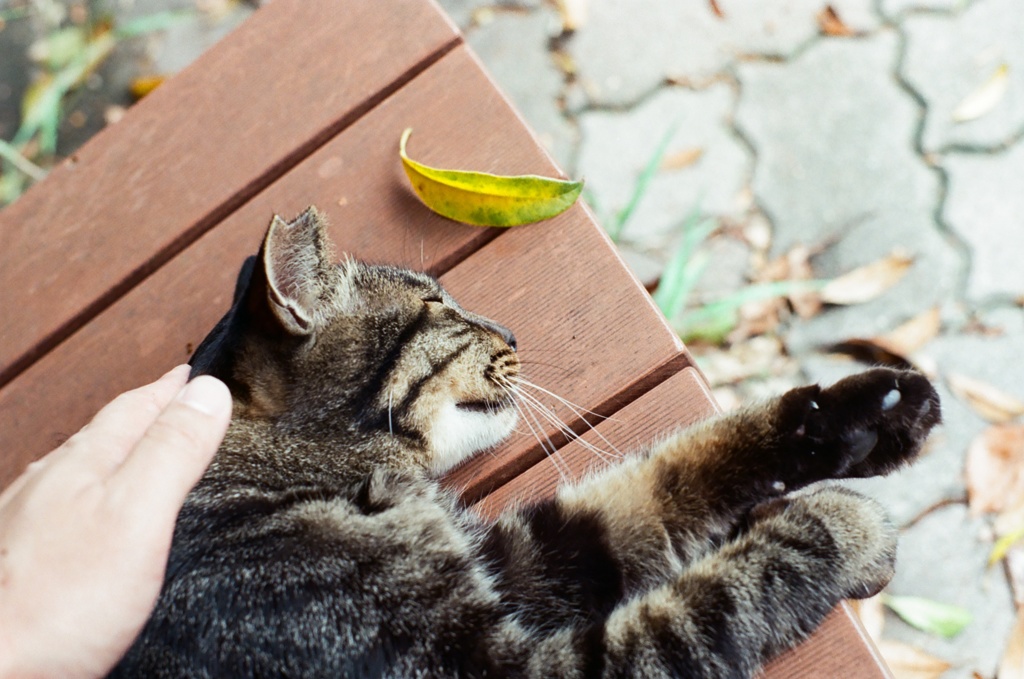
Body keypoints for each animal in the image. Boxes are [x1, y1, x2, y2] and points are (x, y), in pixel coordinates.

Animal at [108, 208, 937, 679]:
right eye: (437, 305)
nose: (511, 331)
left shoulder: (510, 558)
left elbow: (663, 479)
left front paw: (865, 415)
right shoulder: (502, 664)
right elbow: (718, 594)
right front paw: (836, 525)